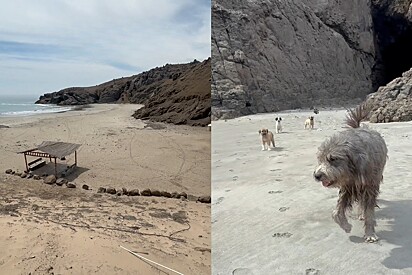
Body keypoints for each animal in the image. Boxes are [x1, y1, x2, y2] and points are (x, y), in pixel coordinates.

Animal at [314, 104, 388, 244]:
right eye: (320, 159)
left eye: (333, 159)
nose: (316, 175)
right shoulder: (348, 187)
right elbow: (337, 212)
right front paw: (346, 226)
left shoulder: (370, 186)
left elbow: (369, 211)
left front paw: (370, 233)